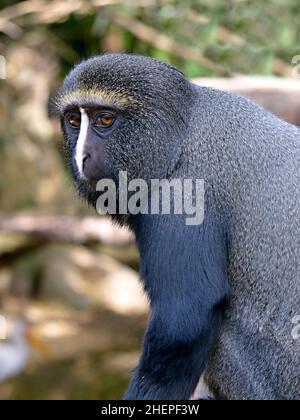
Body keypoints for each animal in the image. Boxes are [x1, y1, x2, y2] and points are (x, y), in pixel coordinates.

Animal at [51, 53, 300, 400]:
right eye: (74, 121)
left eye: (105, 120)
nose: (80, 156)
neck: (180, 134)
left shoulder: (179, 194)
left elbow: (185, 317)